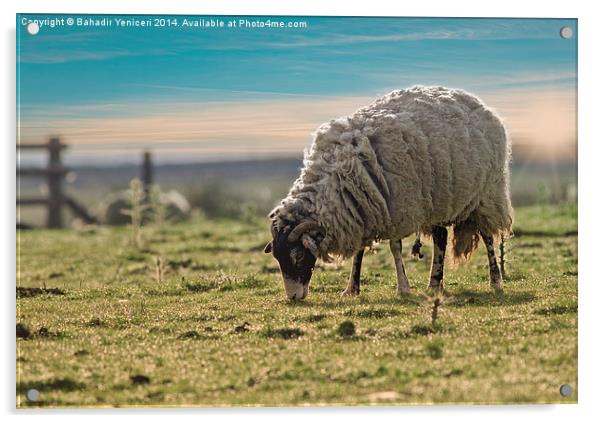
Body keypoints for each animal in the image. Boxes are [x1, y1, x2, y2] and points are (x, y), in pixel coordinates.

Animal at [262, 84, 510, 300]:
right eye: (277, 257)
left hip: (487, 194)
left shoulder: (398, 207)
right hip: (439, 198)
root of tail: (474, 100)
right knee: (441, 238)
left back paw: (495, 281)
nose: (294, 297)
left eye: (298, 255)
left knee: (487, 235)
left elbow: (395, 248)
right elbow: (359, 251)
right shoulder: (362, 208)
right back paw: (434, 284)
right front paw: (351, 289)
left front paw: (403, 288)